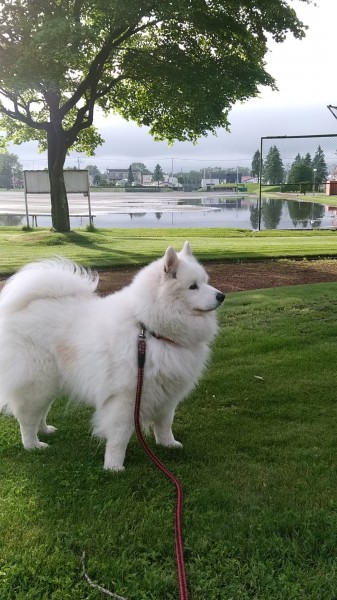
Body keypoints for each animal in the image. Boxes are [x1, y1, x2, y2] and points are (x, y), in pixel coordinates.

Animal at [0, 243, 226, 468]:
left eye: (206, 282)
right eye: (193, 286)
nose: (221, 296)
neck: (148, 330)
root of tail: (25, 308)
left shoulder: (168, 395)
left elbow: (164, 423)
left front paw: (168, 444)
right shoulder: (125, 398)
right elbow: (120, 435)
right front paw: (114, 465)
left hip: (50, 385)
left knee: (40, 412)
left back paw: (45, 430)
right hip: (37, 383)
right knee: (27, 419)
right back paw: (33, 445)